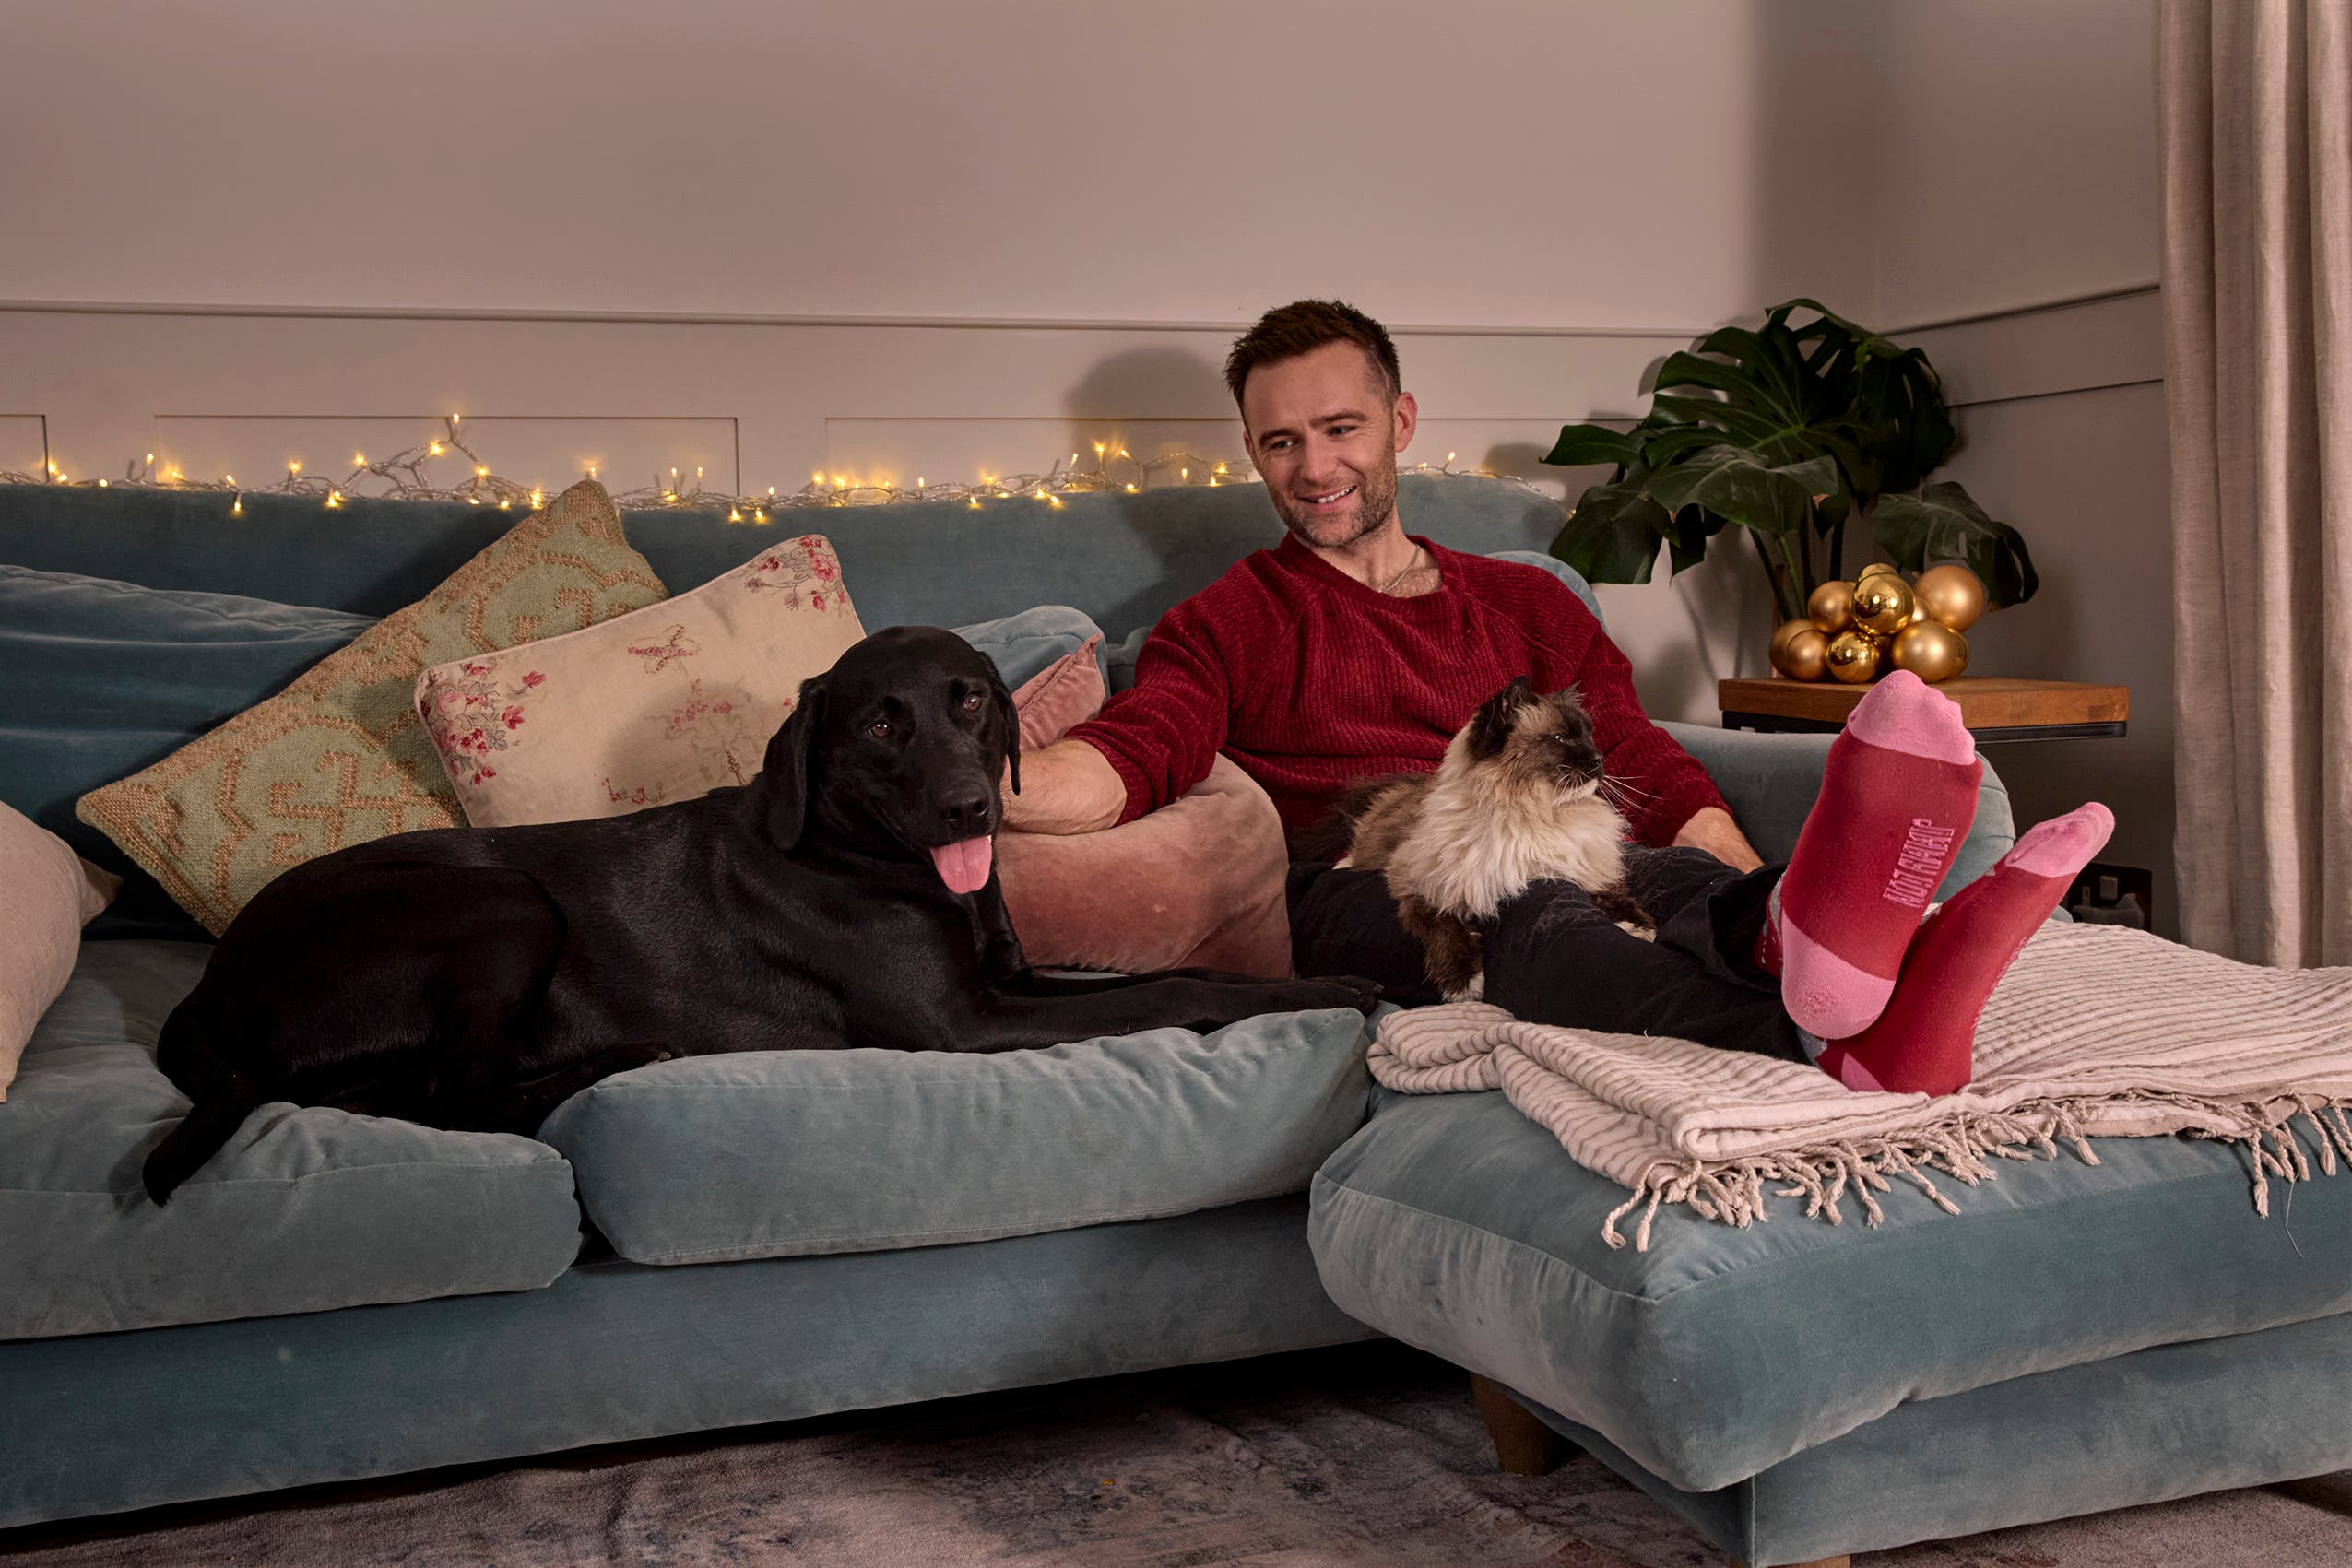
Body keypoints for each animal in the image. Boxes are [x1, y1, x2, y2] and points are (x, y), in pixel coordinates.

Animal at [142, 625, 1373, 1203]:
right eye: (879, 726)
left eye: (970, 700)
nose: (969, 804)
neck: (863, 853)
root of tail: (206, 987)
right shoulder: (969, 1024)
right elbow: (1168, 990)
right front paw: (1339, 985)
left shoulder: (1013, 984)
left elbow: (1163, 977)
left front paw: (1305, 982)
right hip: (497, 901)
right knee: (462, 1099)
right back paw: (626, 1056)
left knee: (412, 1099)